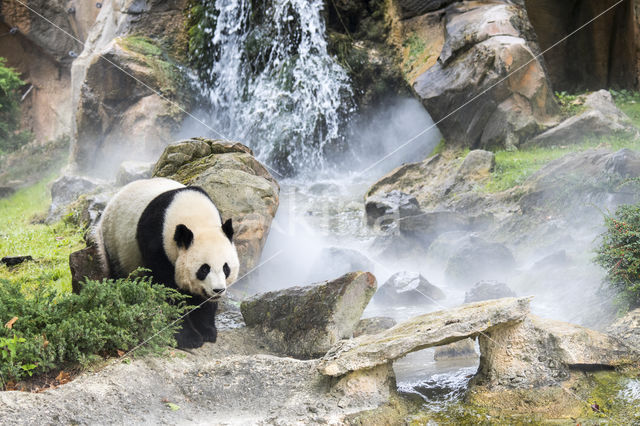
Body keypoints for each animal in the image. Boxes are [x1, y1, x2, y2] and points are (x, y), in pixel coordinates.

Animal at [92, 178, 238, 348]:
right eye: (204, 269)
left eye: (226, 268)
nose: (218, 290)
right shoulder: (156, 242)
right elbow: (167, 291)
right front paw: (189, 338)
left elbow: (201, 299)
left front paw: (208, 331)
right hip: (113, 243)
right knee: (118, 274)